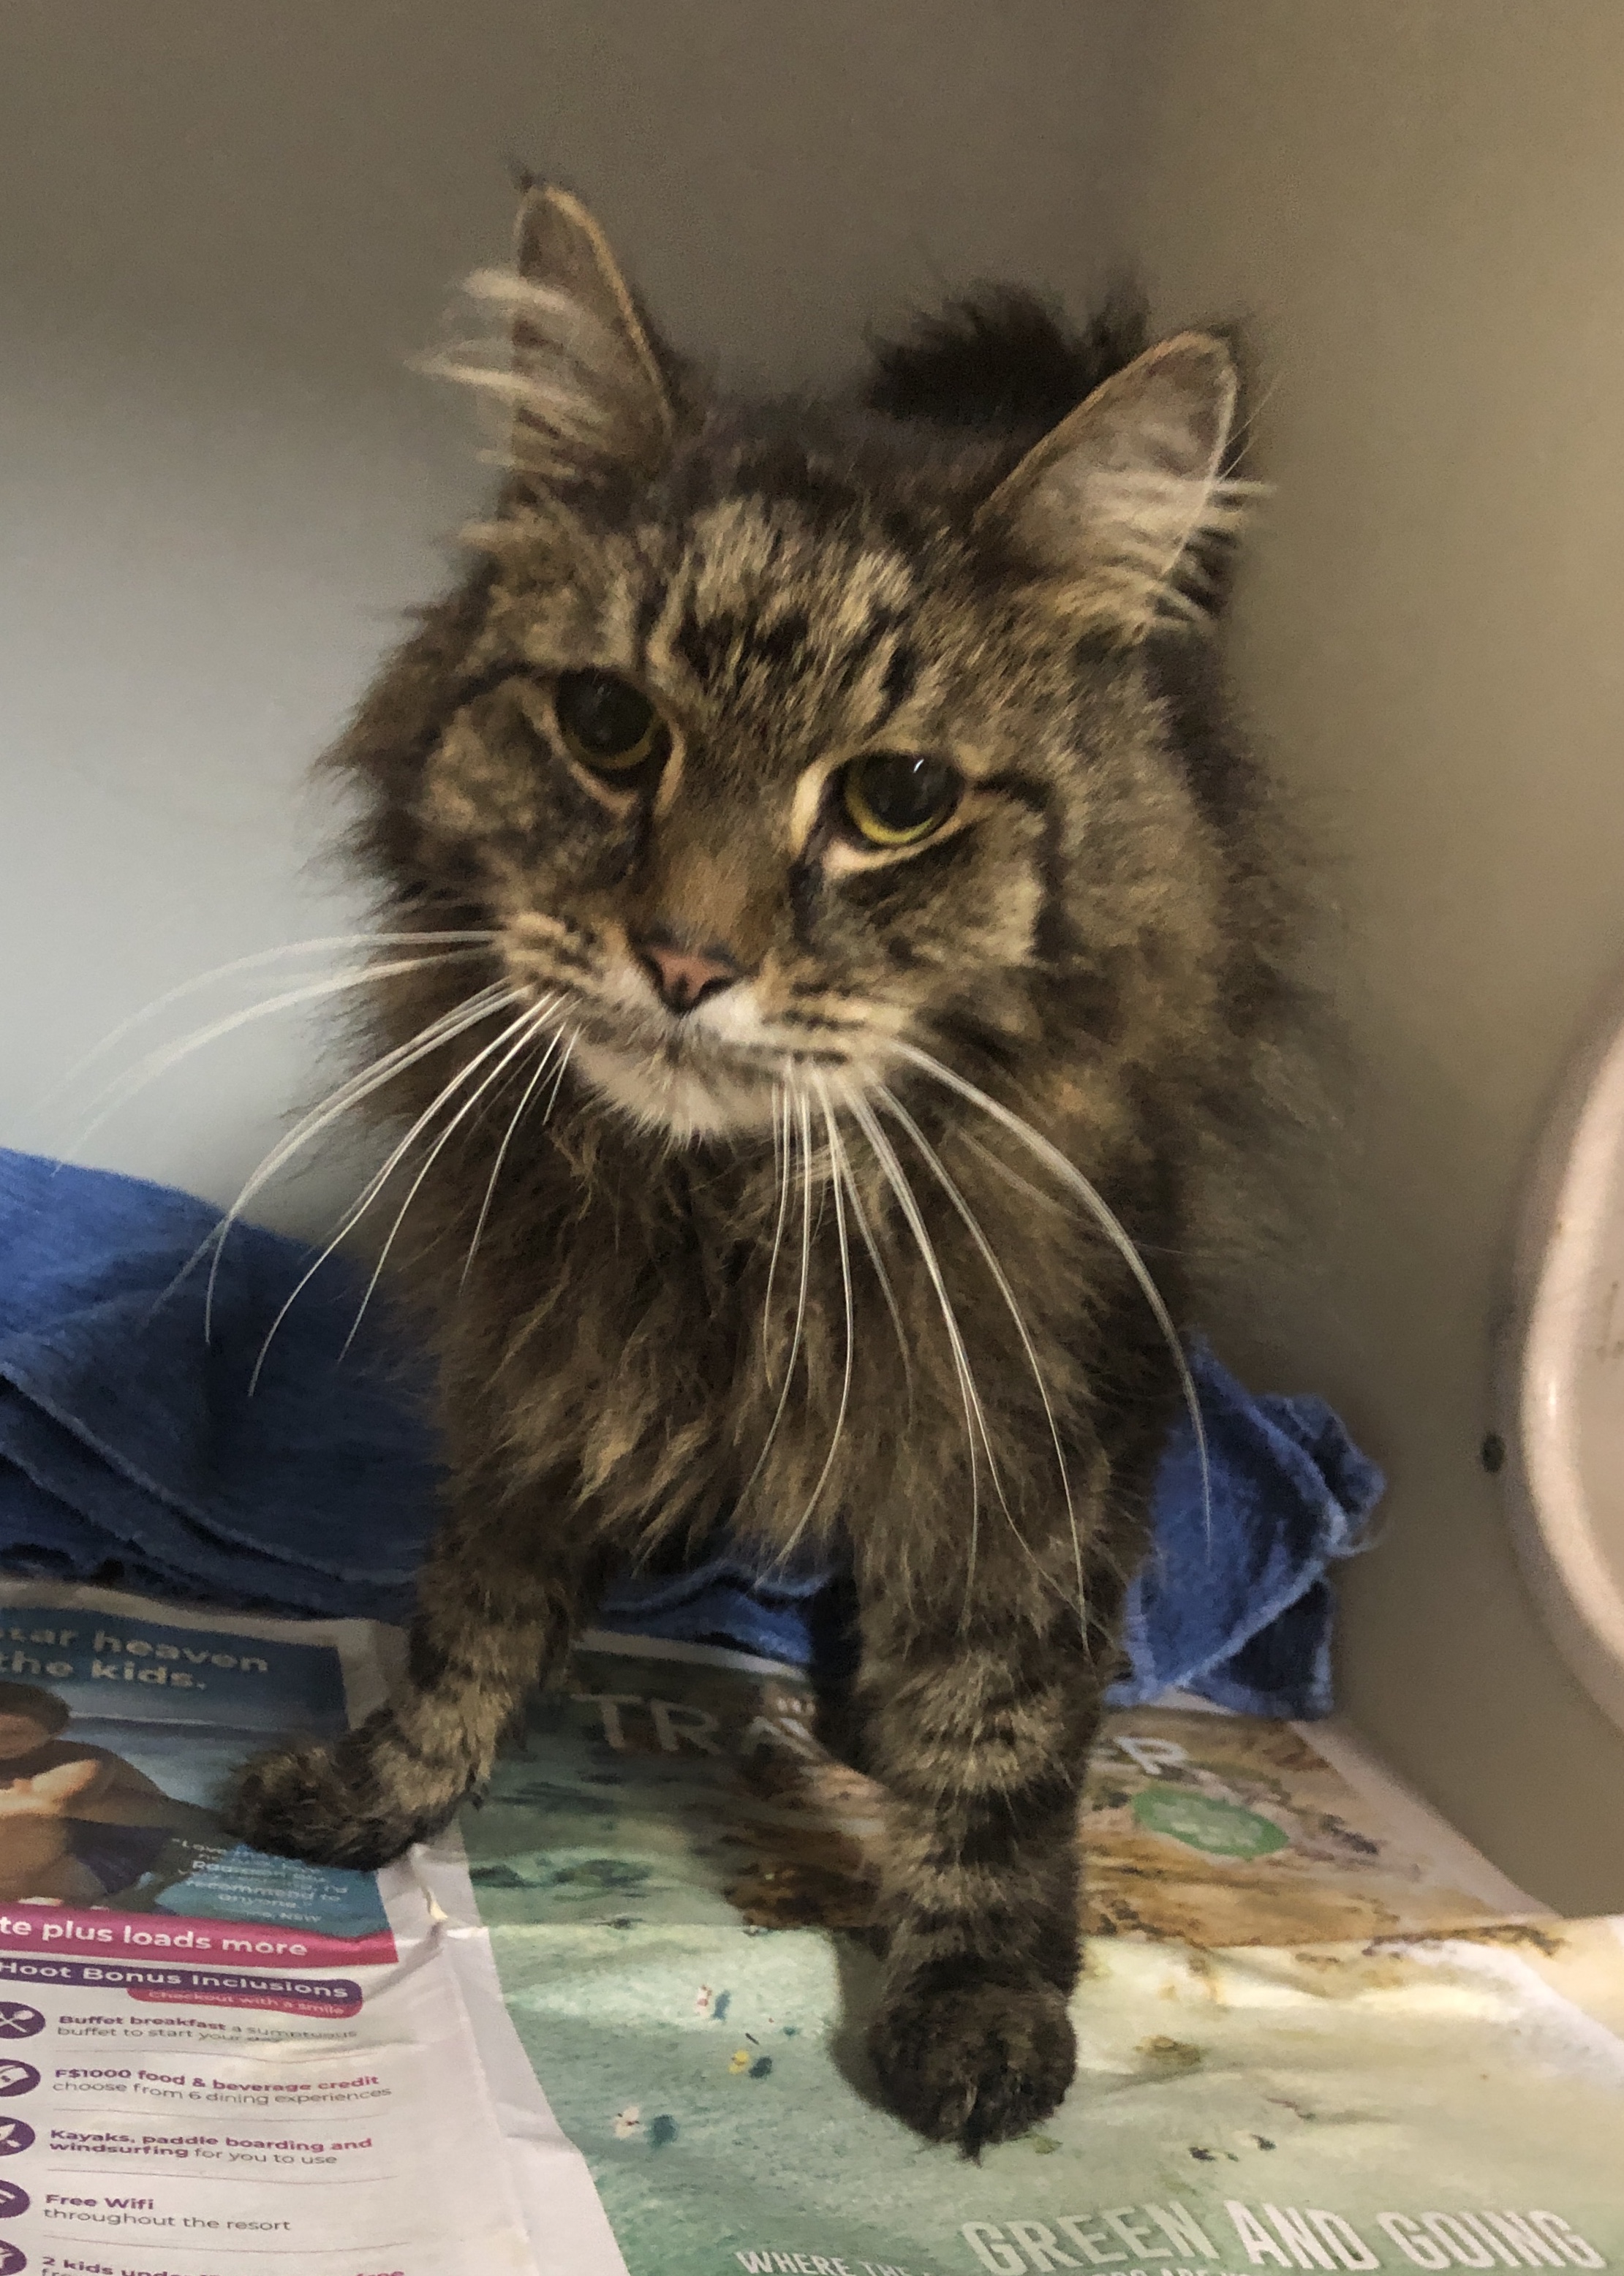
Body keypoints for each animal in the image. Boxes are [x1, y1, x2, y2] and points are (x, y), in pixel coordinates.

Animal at [224, 182, 1301, 2151]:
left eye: (895, 800)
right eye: (608, 727)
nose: (684, 958)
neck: (719, 1207)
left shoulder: (1032, 1402)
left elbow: (1003, 1732)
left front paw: (977, 1986)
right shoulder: (544, 1358)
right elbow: (468, 1618)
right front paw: (387, 1789)